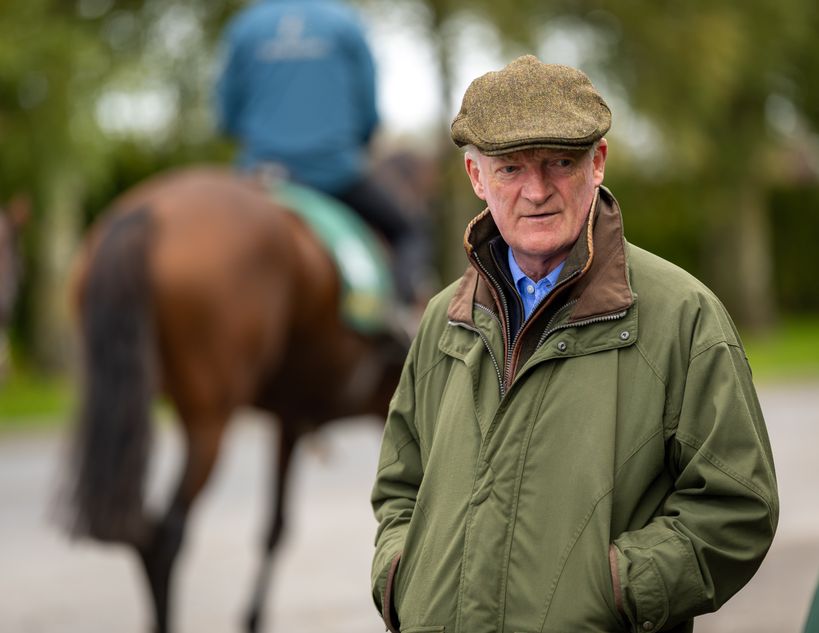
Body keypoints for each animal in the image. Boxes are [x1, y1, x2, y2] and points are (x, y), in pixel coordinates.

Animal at [63, 166, 412, 633]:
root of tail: (147, 213)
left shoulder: (290, 420)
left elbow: (275, 526)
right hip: (209, 420)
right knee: (166, 535)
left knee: (139, 532)